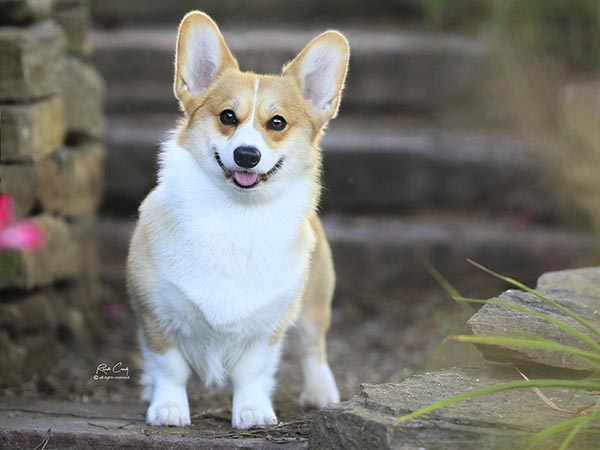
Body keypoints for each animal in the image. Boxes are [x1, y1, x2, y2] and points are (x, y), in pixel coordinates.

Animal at [127, 10, 352, 428]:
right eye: (227, 117)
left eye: (277, 123)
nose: (247, 155)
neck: (236, 216)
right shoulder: (156, 315)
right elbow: (170, 368)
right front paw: (168, 408)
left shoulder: (268, 327)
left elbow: (251, 372)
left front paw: (252, 411)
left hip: (314, 303)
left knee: (313, 348)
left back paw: (321, 392)